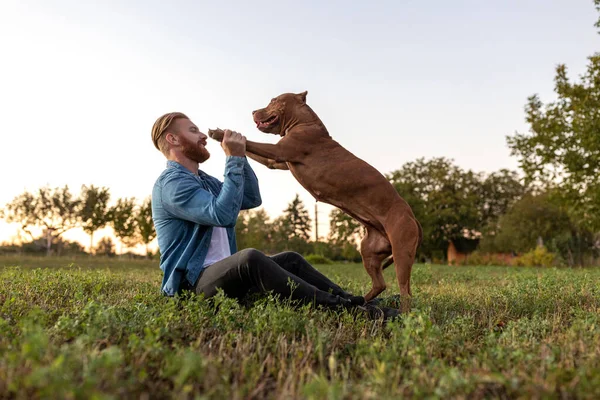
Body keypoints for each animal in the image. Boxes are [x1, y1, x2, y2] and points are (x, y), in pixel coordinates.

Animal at [209, 91, 424, 310]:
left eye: (274, 101)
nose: (253, 111)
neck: (304, 122)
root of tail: (412, 217)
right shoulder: (275, 161)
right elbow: (250, 149)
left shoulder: (278, 151)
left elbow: (251, 143)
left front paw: (220, 133)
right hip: (369, 250)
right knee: (380, 284)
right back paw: (360, 301)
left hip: (401, 252)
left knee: (405, 291)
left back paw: (401, 313)